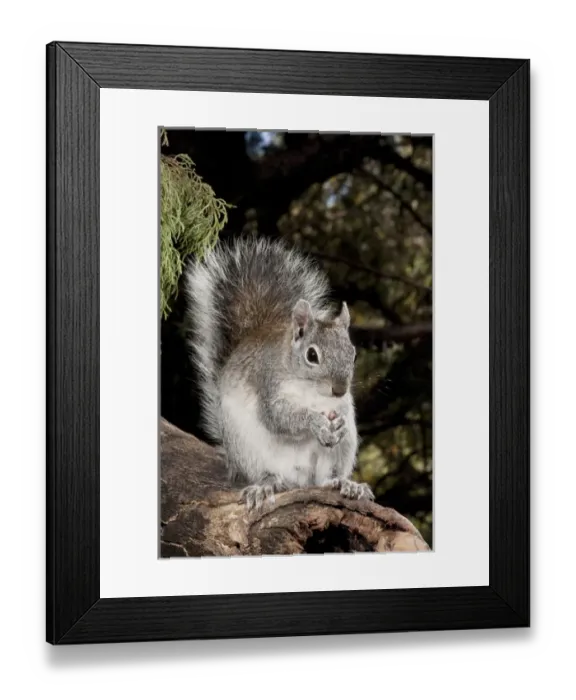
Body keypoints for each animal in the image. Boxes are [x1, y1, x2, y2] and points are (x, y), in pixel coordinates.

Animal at [183, 236, 375, 510]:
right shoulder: (269, 385)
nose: (339, 389)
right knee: (269, 474)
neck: (310, 390)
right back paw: (266, 485)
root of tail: (300, 480)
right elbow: (279, 417)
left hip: (342, 450)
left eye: (353, 353)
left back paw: (346, 484)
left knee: (327, 477)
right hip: (248, 447)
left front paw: (337, 425)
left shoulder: (340, 405)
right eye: (312, 355)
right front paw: (314, 422)